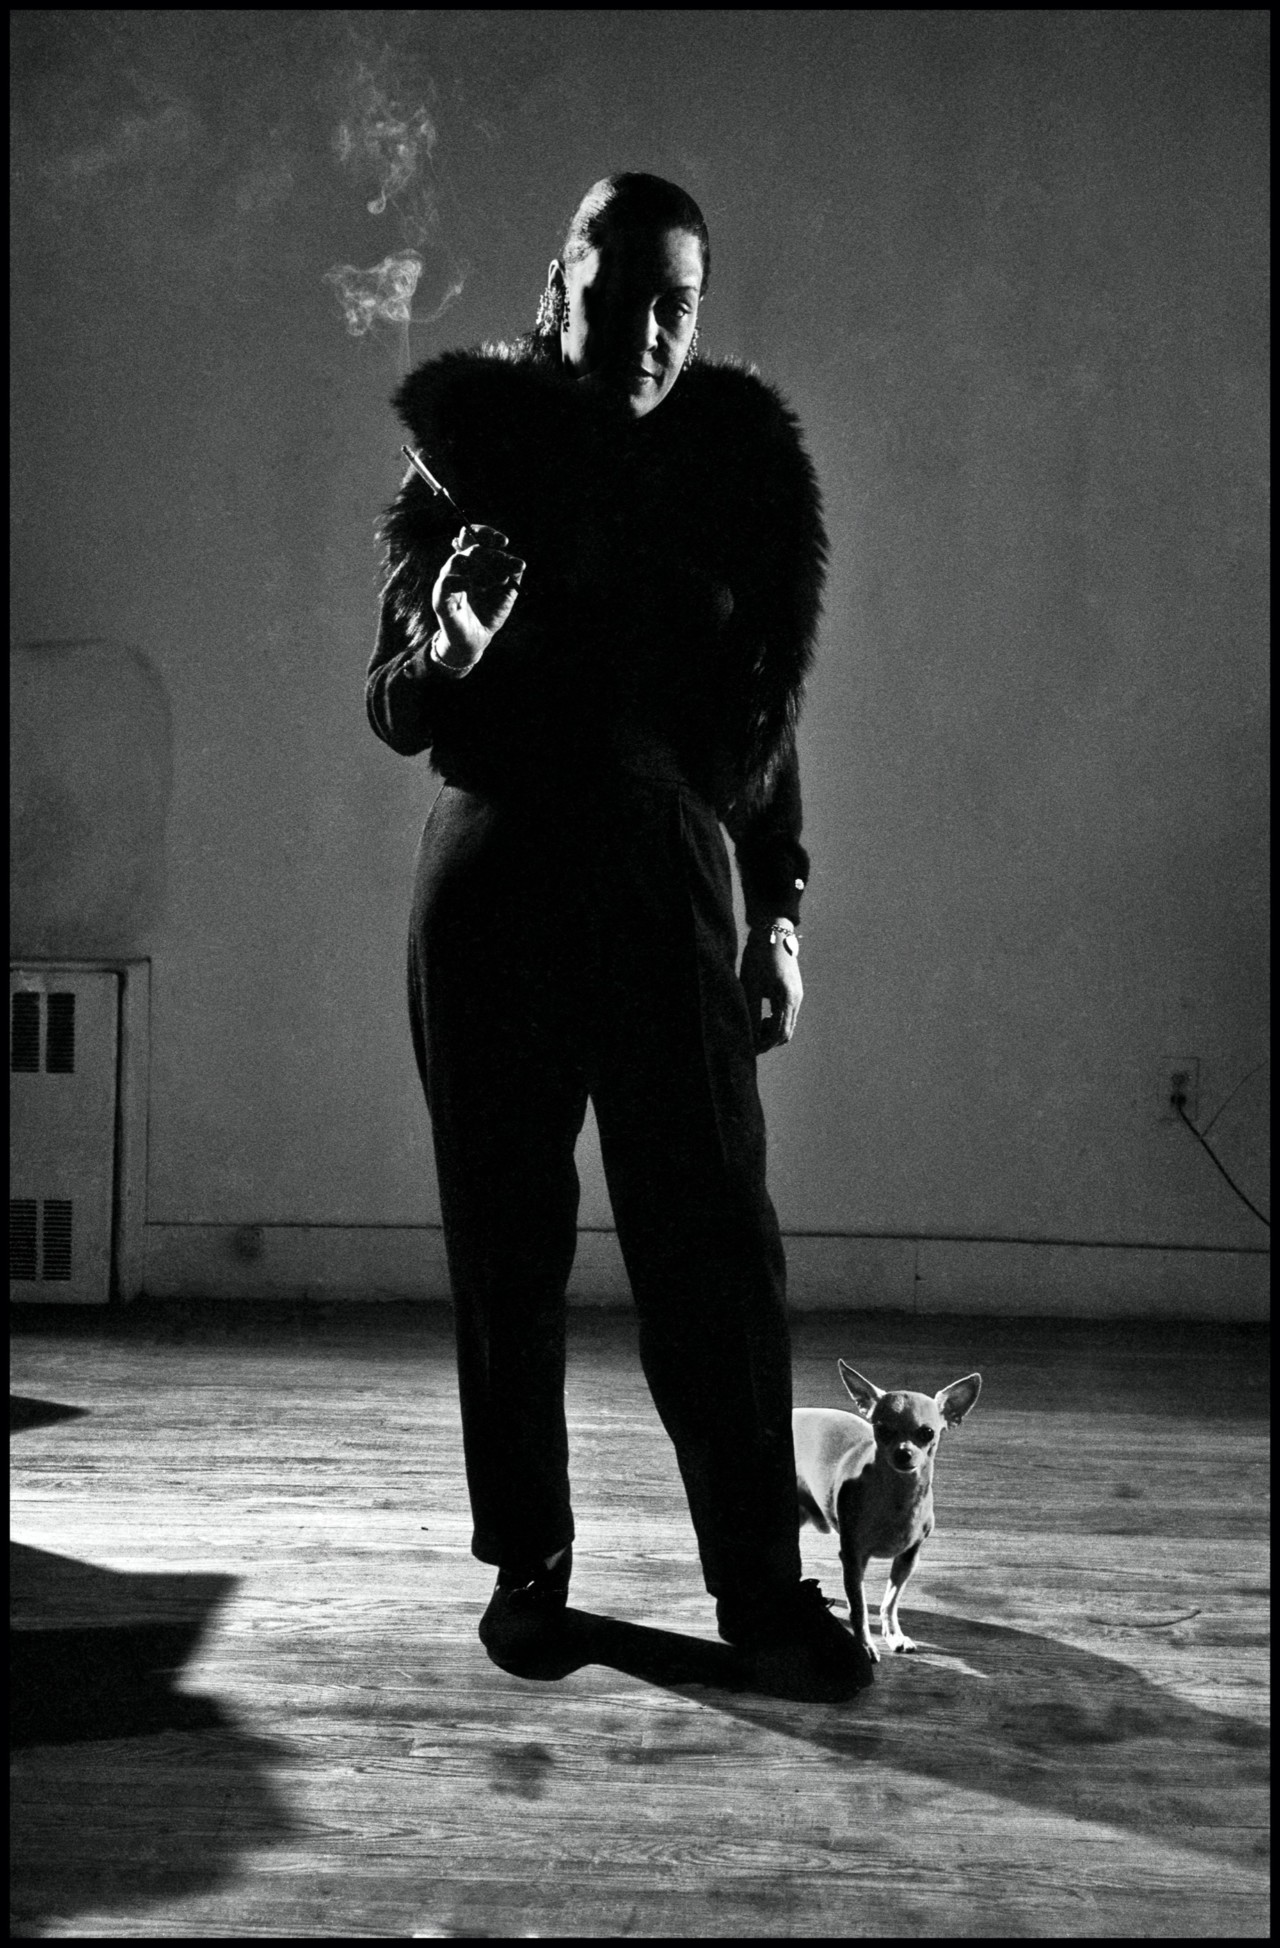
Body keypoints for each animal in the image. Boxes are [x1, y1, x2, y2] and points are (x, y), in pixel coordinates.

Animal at [793, 1362, 981, 1659]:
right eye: (881, 1430)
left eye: (927, 1433)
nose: (903, 1453)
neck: (898, 1496)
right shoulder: (853, 1559)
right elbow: (858, 1608)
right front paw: (864, 1645)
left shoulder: (907, 1558)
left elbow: (890, 1602)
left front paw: (894, 1635)